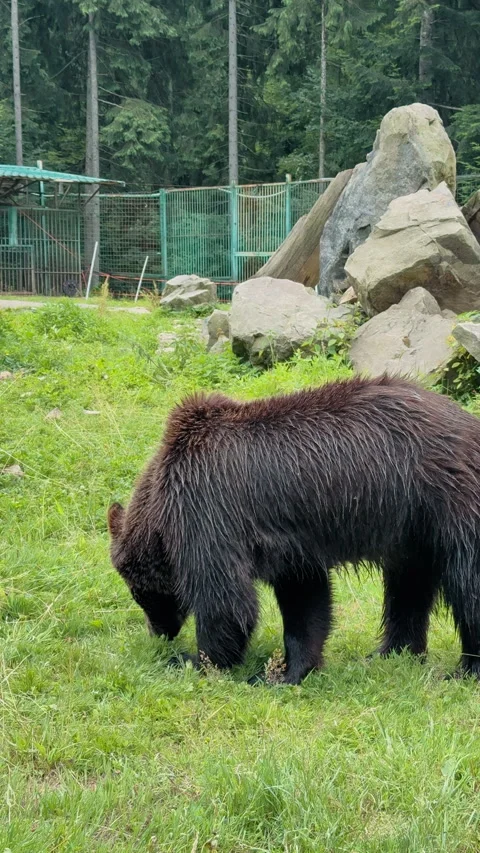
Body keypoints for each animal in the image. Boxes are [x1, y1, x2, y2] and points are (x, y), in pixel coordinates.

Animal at [108, 374, 480, 685]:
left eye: (139, 593)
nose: (159, 633)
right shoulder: (290, 547)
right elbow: (306, 602)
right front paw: (291, 671)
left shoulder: (208, 512)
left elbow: (227, 600)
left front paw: (198, 660)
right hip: (413, 529)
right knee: (408, 586)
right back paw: (388, 652)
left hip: (449, 501)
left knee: (465, 584)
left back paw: (464, 670)